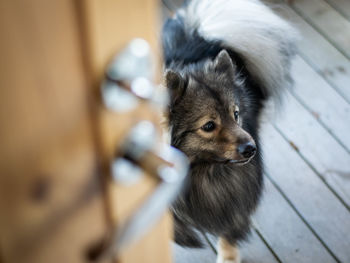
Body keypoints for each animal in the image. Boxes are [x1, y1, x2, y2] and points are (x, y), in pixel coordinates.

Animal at [163, 1, 296, 262]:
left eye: (235, 114)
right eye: (208, 126)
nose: (251, 149)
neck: (199, 172)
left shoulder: (233, 198)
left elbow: (229, 228)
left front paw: (228, 256)